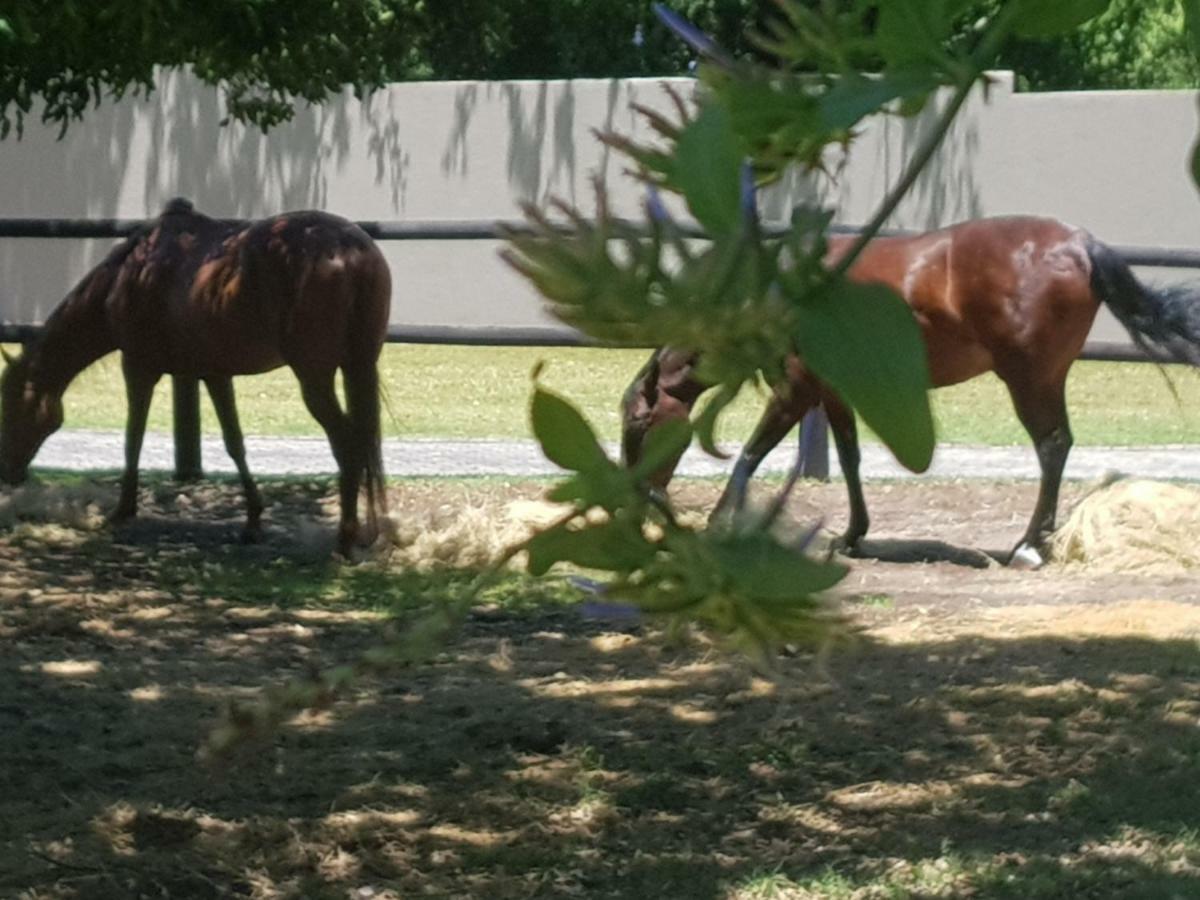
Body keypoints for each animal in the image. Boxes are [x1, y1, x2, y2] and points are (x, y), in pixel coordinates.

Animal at [0, 199, 391, 556]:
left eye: (9, 408)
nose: (8, 473)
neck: (130, 273)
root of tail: (349, 250)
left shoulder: (138, 367)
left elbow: (133, 439)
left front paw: (123, 509)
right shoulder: (214, 373)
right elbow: (235, 444)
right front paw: (252, 520)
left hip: (315, 377)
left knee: (347, 444)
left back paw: (345, 540)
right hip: (358, 365)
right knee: (362, 443)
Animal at [624, 217, 1200, 566]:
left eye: (636, 421)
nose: (641, 497)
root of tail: (1080, 243)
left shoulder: (796, 389)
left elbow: (751, 452)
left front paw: (720, 521)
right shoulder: (834, 393)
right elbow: (850, 458)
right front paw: (853, 534)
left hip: (1027, 378)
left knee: (1051, 446)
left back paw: (1028, 544)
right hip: (1046, 378)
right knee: (1057, 445)